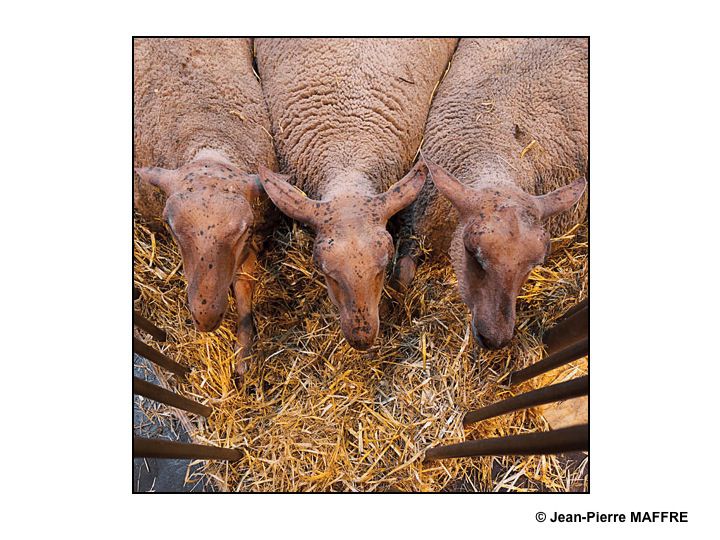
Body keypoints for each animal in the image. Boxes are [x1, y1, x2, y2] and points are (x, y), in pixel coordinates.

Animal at [132, 37, 278, 376]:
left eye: (242, 230)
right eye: (172, 228)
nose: (206, 318)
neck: (207, 142)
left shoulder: (255, 239)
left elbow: (245, 289)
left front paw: (244, 353)